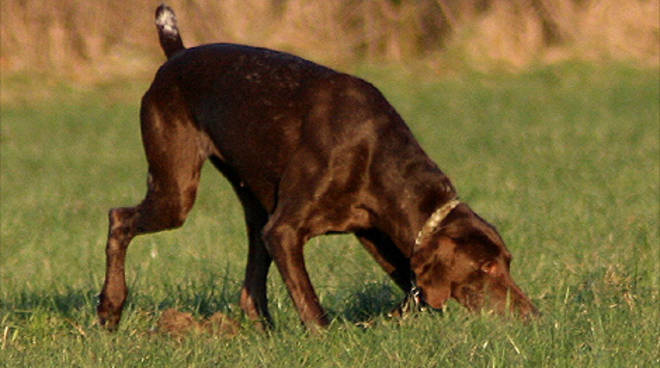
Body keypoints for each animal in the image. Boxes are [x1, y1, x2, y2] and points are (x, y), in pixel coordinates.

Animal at [96, 3, 536, 330]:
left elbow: (416, 292)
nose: (534, 316)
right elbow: (312, 307)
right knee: (119, 219)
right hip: (176, 191)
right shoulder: (285, 231)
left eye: (507, 262)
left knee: (250, 290)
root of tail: (176, 55)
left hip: (254, 207)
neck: (377, 156)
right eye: (485, 266)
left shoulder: (376, 234)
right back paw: (110, 308)